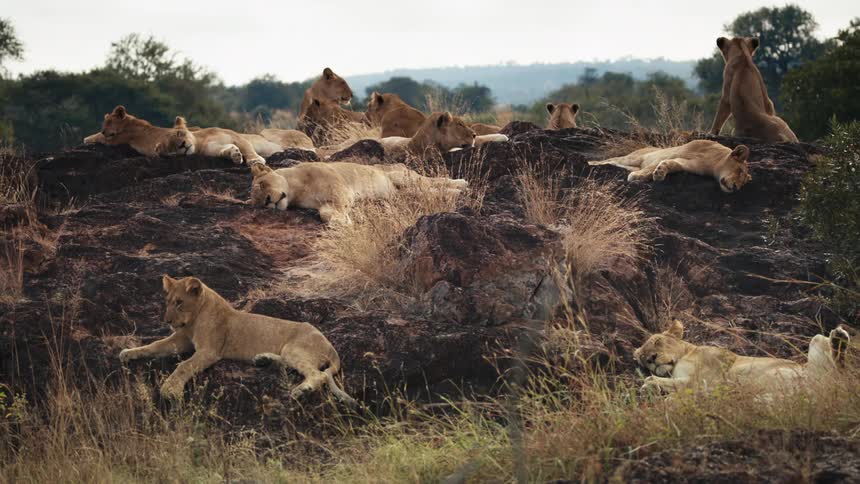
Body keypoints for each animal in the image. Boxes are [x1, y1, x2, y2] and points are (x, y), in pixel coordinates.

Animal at [119, 275, 356, 405]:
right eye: (167, 301)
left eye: (179, 302)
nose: (167, 320)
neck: (194, 319)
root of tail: (331, 347)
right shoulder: (181, 340)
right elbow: (155, 345)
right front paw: (128, 353)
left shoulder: (209, 351)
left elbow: (185, 365)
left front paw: (170, 388)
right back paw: (263, 359)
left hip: (295, 348)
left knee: (318, 375)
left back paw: (300, 390)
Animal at [248, 160, 468, 224]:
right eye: (257, 202)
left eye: (262, 184)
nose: (267, 201)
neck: (297, 190)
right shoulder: (324, 202)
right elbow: (325, 213)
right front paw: (342, 220)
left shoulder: (341, 189)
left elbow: (337, 207)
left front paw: (343, 219)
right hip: (401, 192)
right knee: (427, 191)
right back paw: (456, 191)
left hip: (401, 176)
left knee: (433, 182)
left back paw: (461, 184)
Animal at [588, 140, 752, 193]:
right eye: (739, 171)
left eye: (744, 183)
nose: (736, 188)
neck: (713, 164)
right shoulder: (676, 151)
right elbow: (653, 165)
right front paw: (641, 176)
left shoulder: (687, 165)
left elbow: (671, 164)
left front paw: (659, 173)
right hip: (632, 158)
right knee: (611, 160)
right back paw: (592, 163)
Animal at [634, 320, 850, 395]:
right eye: (643, 358)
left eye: (657, 341)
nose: (651, 358)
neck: (684, 356)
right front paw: (651, 387)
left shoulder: (706, 377)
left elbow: (678, 385)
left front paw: (650, 384)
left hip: (819, 345)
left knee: (841, 370)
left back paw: (839, 339)